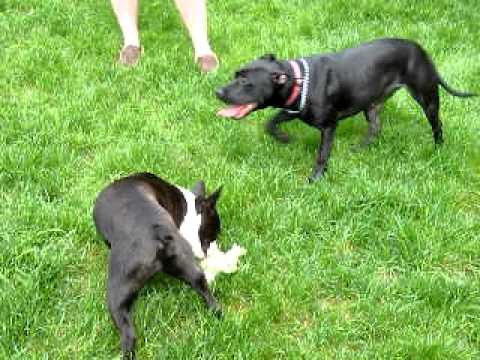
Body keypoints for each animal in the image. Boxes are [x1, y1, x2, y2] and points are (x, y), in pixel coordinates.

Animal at [93, 173, 225, 358]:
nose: (214, 244)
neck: (187, 208)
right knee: (200, 282)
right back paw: (217, 311)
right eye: (213, 232)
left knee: (127, 333)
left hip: (116, 284)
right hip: (183, 258)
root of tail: (157, 234)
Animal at [217, 38, 476, 181]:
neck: (298, 81)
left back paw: (438, 148)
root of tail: (421, 50)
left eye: (245, 82)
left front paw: (315, 179)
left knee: (436, 124)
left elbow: (322, 155)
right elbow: (270, 122)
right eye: (236, 75)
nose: (217, 91)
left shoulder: (329, 126)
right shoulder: (293, 109)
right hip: (371, 104)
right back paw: (360, 148)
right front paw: (283, 137)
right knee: (375, 128)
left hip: (426, 97)